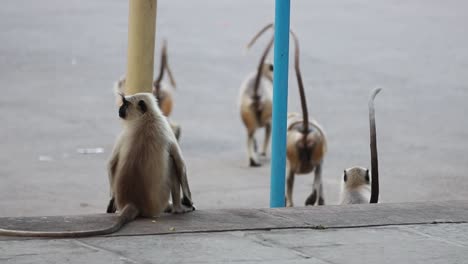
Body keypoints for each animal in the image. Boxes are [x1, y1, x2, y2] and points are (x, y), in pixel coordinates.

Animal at [0, 93, 194, 239]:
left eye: (125, 104)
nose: (119, 109)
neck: (147, 118)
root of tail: (132, 202)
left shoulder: (127, 133)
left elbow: (111, 163)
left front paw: (111, 203)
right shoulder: (164, 126)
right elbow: (179, 163)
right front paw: (188, 203)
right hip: (156, 204)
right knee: (171, 162)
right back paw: (176, 208)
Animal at [239, 23, 276, 167]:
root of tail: (255, 93)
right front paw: (262, 152)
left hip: (246, 110)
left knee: (250, 133)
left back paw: (253, 157)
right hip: (267, 110)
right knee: (268, 126)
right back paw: (261, 154)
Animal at [284, 31, 328, 206]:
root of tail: (304, 128)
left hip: (293, 159)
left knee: (290, 178)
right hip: (316, 150)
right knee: (318, 173)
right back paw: (314, 198)